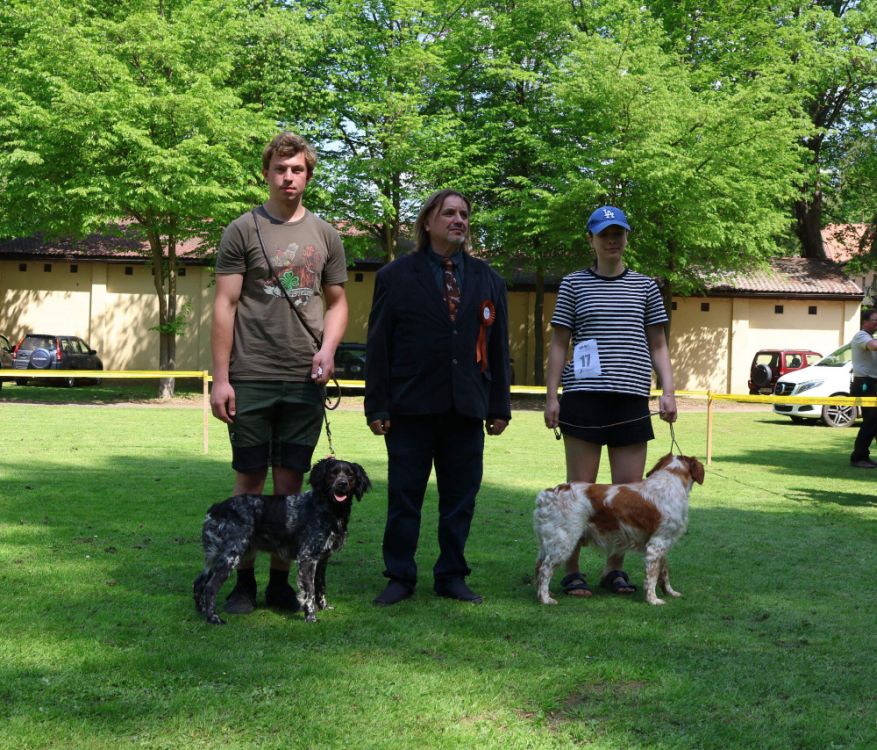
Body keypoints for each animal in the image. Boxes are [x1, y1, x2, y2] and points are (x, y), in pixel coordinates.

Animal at [193, 457, 371, 625]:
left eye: (350, 475)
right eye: (332, 473)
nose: (342, 484)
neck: (330, 509)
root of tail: (216, 508)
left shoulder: (322, 559)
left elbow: (321, 587)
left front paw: (324, 607)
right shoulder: (307, 557)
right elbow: (310, 592)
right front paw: (311, 617)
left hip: (216, 556)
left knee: (199, 582)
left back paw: (201, 611)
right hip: (231, 554)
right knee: (210, 587)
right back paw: (213, 618)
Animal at [534, 453, 704, 606]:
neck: (671, 477)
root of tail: (549, 494)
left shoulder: (663, 544)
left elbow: (664, 572)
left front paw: (670, 592)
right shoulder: (656, 545)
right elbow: (652, 577)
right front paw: (653, 600)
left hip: (549, 543)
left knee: (539, 567)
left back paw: (544, 593)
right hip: (564, 541)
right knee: (545, 569)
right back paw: (546, 599)